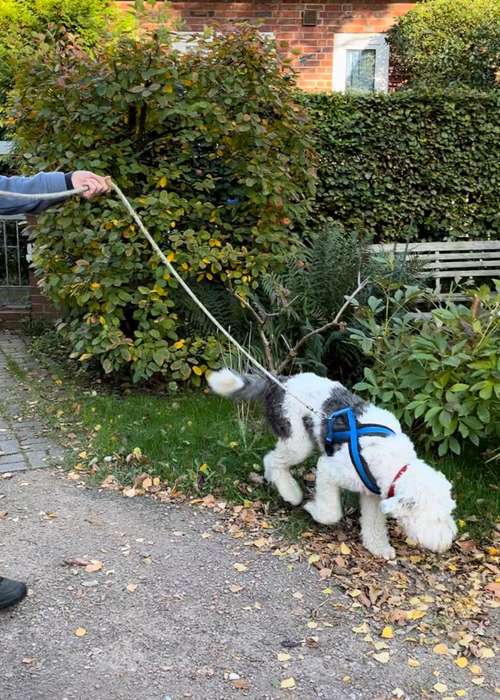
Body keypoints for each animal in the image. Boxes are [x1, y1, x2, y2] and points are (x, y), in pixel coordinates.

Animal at [207, 370, 458, 560]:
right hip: (297, 441)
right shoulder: (329, 470)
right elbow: (331, 512)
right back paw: (290, 492)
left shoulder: (372, 493)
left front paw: (378, 547)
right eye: (436, 518)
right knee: (273, 460)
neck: (394, 462)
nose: (447, 542)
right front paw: (313, 509)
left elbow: (374, 524)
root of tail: (282, 380)